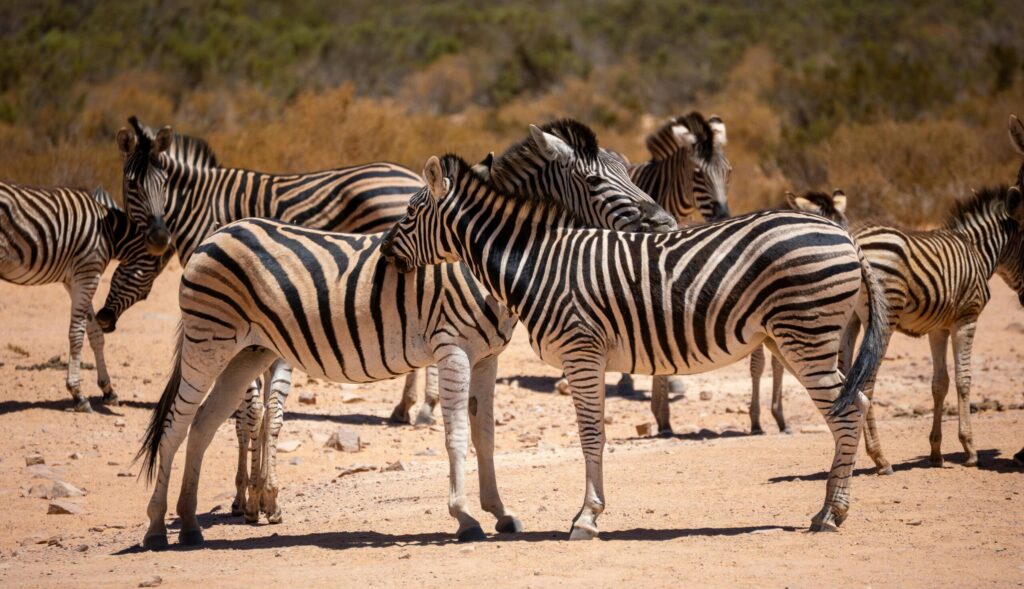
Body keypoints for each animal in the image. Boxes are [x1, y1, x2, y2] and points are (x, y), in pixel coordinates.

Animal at [0, 182, 163, 412]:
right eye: (145, 294)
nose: (107, 321)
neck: (109, 232)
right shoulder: (88, 274)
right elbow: (77, 334)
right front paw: (78, 394)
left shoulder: (74, 279)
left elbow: (95, 334)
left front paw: (108, 390)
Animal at [133, 121, 677, 549]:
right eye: (593, 180)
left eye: (629, 170)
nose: (668, 222)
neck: (480, 261)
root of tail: (219, 232)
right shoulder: (452, 348)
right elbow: (456, 434)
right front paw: (464, 518)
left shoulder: (488, 357)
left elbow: (485, 435)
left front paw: (500, 513)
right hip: (209, 340)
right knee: (178, 422)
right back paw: (157, 528)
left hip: (247, 350)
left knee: (204, 424)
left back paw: (189, 525)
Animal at [382, 153, 888, 539]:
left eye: (409, 215)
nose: (384, 252)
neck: (537, 263)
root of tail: (846, 236)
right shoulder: (588, 356)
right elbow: (595, 434)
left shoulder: (581, 352)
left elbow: (591, 435)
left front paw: (586, 518)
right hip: (793, 338)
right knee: (855, 402)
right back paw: (833, 508)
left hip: (806, 334)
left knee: (846, 410)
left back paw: (830, 514)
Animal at [847, 184, 1024, 474]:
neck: (978, 253)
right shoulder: (966, 318)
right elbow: (964, 379)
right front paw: (970, 450)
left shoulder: (938, 328)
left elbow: (940, 383)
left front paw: (936, 452)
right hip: (882, 319)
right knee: (866, 381)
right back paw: (880, 458)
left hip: (848, 319)